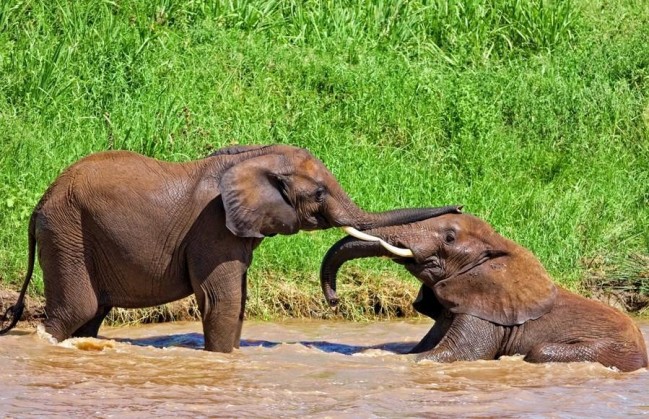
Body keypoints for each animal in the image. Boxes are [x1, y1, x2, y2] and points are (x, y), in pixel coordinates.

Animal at [0, 144, 458, 352]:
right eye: (319, 193)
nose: (458, 206)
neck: (255, 157)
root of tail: (40, 203)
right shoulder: (212, 228)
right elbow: (222, 298)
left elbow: (237, 298)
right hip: (67, 232)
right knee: (77, 307)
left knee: (92, 314)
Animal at [320, 215, 648, 372]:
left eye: (449, 238)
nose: (334, 300)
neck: (500, 244)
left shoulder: (487, 313)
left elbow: (460, 354)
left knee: (541, 351)